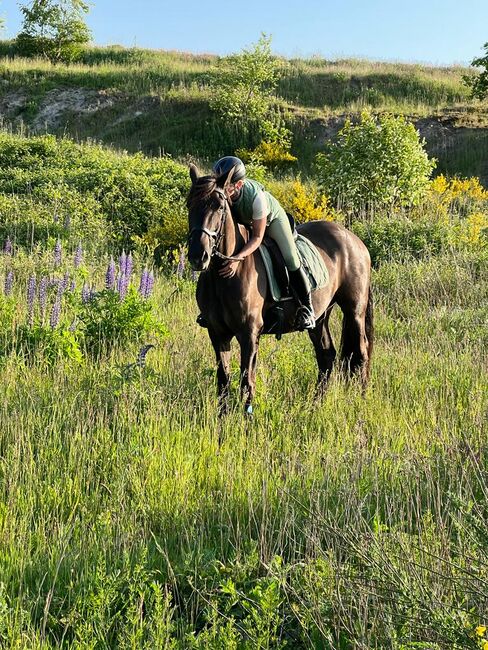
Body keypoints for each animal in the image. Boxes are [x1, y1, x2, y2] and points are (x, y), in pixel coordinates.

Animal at [187, 165, 374, 412]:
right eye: (189, 204)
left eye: (219, 207)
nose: (198, 256)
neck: (225, 275)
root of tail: (355, 240)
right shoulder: (217, 333)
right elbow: (223, 381)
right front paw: (222, 419)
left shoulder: (249, 333)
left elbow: (247, 381)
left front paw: (246, 419)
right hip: (321, 316)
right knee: (326, 356)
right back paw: (315, 406)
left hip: (354, 311)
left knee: (360, 353)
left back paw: (360, 402)